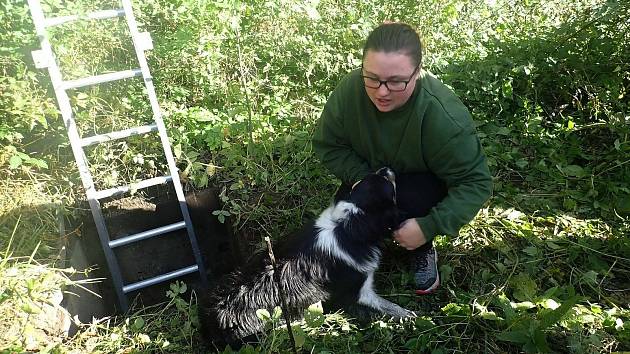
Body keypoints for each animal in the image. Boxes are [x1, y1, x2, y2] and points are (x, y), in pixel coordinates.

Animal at [198, 167, 414, 348]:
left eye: (359, 181)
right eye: (391, 190)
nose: (386, 168)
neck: (349, 226)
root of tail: (214, 324)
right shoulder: (359, 293)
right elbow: (390, 308)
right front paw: (410, 317)